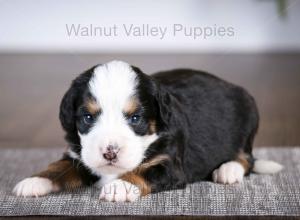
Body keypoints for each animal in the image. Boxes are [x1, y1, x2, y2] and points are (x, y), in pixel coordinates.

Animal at [12, 60, 282, 201]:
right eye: (88, 117)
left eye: (135, 118)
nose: (110, 152)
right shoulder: (78, 154)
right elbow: (59, 167)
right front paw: (34, 180)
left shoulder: (170, 165)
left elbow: (144, 171)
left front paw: (120, 186)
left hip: (249, 115)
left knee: (246, 158)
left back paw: (228, 170)